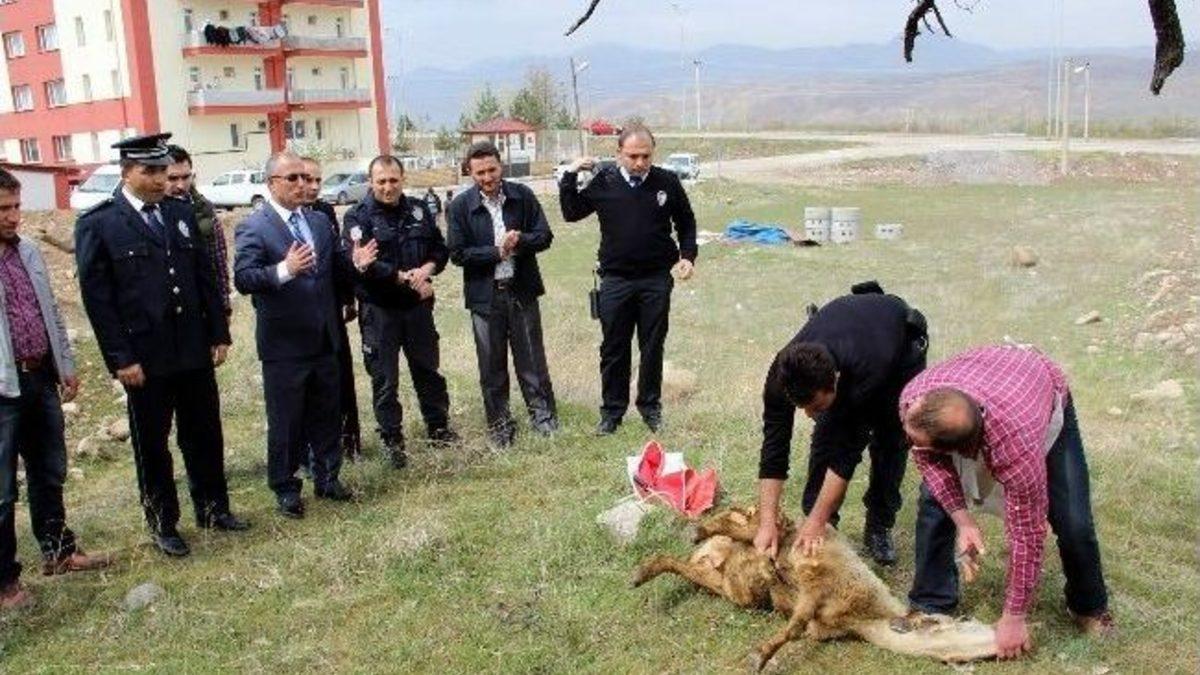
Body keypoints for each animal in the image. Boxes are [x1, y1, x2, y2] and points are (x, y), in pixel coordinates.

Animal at [633, 506, 997, 669]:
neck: (862, 616)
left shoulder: (812, 599)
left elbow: (795, 626)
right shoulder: (815, 587)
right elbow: (792, 627)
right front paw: (759, 655)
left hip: (743, 579)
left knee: (695, 553)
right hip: (767, 534)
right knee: (740, 523)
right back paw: (701, 533)